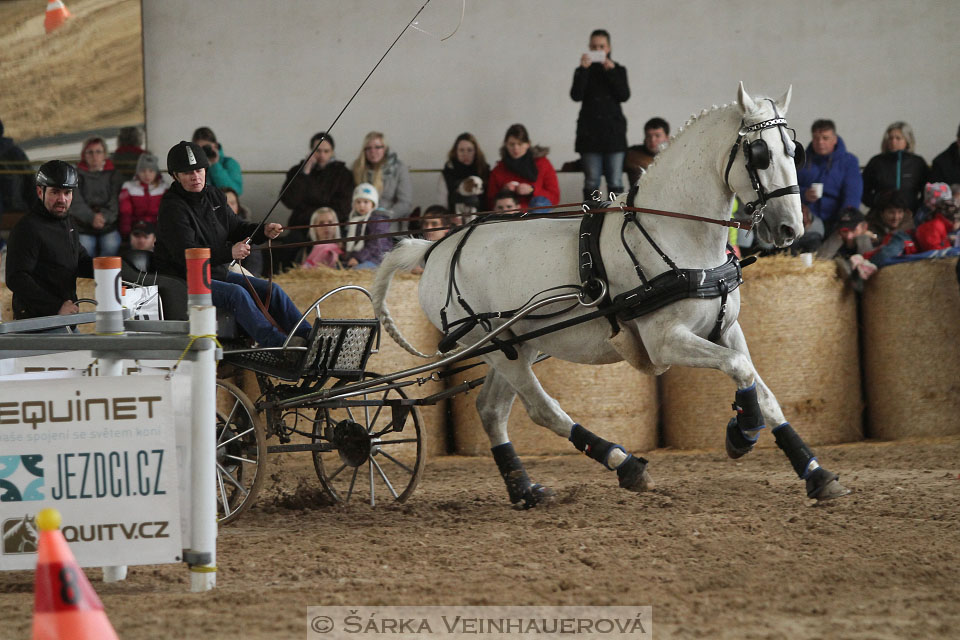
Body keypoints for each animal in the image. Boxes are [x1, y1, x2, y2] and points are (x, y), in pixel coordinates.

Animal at [376, 84, 848, 504]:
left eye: (794, 150)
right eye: (759, 153)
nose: (790, 228)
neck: (673, 234)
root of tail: (435, 248)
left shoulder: (726, 329)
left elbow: (762, 389)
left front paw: (814, 471)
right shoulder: (665, 341)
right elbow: (738, 368)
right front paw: (743, 432)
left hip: (515, 346)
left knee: (492, 410)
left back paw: (525, 490)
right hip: (492, 346)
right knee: (542, 410)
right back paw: (624, 463)